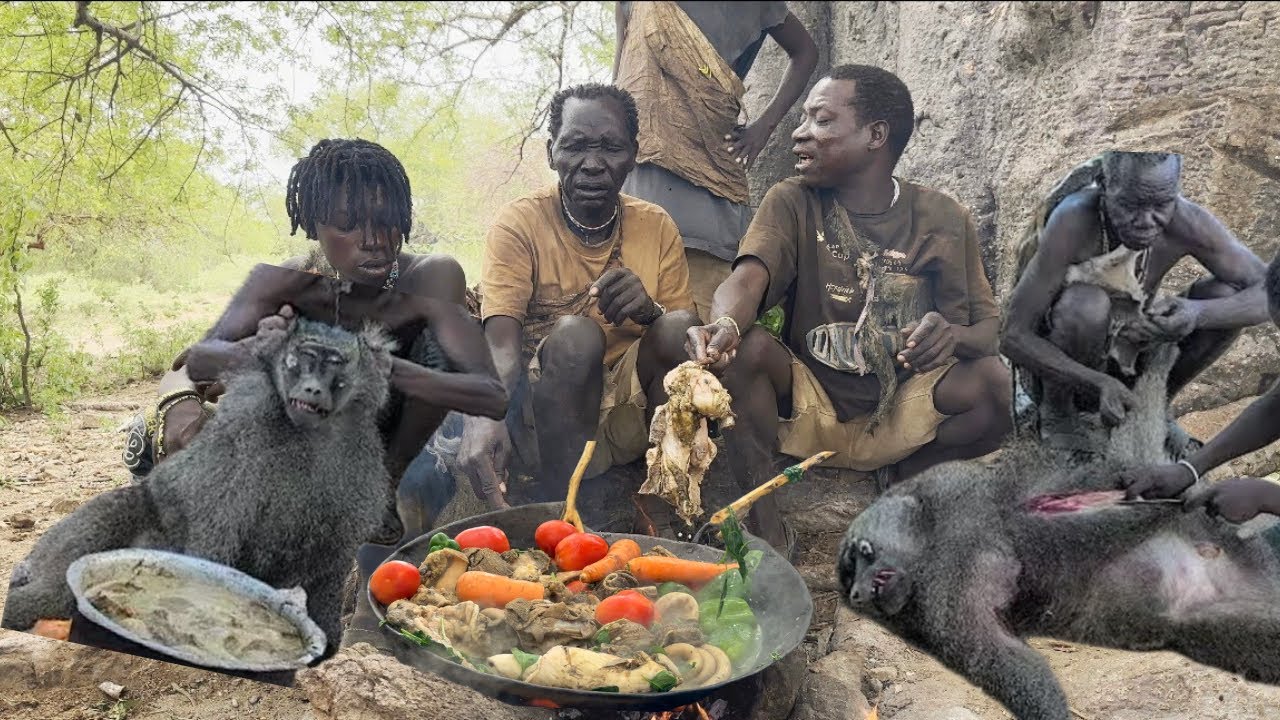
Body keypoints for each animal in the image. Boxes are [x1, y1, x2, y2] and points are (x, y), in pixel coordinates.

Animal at [837, 343, 1280, 720]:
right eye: (848, 576)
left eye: (861, 554)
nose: (856, 593)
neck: (930, 539)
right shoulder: (936, 604)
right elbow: (993, 653)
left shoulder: (958, 491)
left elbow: (1087, 487)